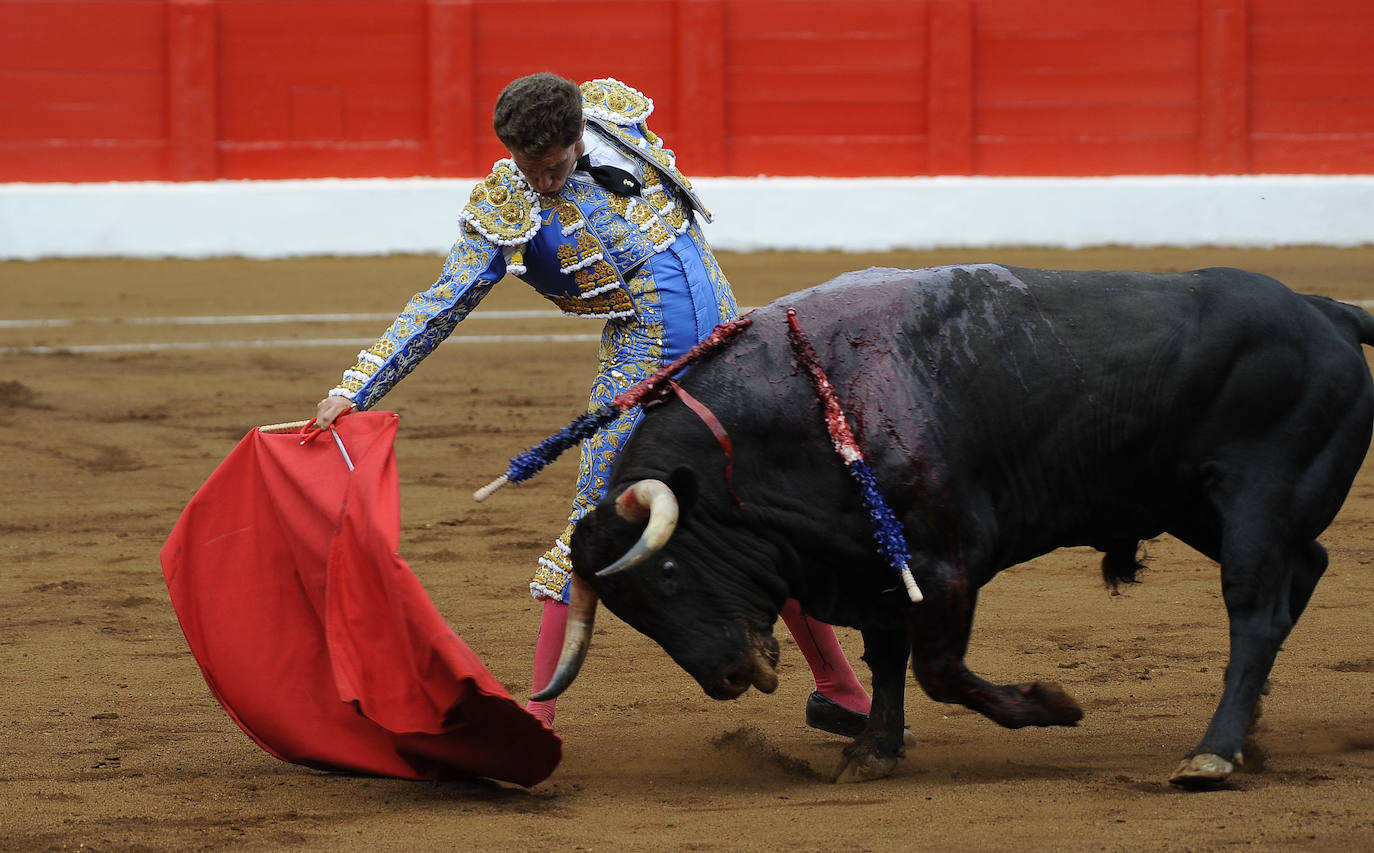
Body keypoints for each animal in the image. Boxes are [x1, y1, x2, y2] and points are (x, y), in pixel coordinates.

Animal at [533, 265, 1374, 785]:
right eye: (634, 615)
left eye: (671, 571)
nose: (728, 677)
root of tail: (1327, 310)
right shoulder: (873, 566)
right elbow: (886, 660)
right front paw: (873, 751)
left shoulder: (942, 564)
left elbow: (936, 668)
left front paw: (1053, 705)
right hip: (1202, 506)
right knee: (1307, 568)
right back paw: (1251, 734)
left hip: (1258, 498)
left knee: (1255, 610)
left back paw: (1214, 753)